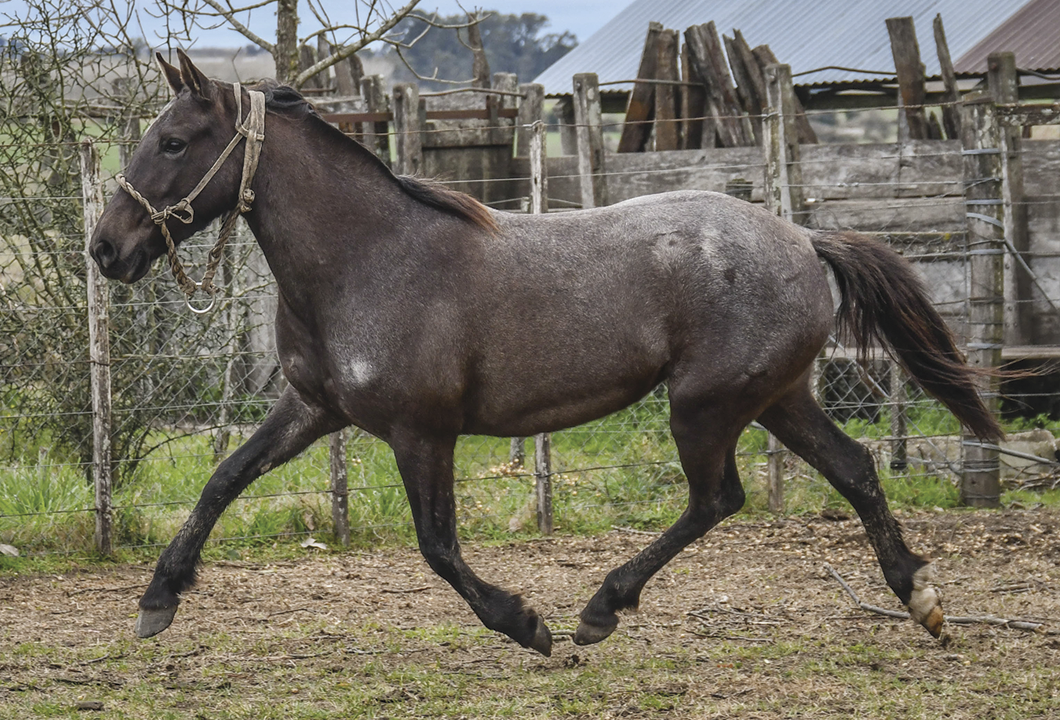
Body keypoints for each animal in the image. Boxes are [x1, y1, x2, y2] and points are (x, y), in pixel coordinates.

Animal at [91, 53, 1000, 657]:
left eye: (174, 142)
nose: (106, 249)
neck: (366, 258)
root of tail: (806, 240)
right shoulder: (314, 409)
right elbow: (224, 479)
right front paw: (157, 598)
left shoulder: (423, 432)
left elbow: (438, 547)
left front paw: (527, 624)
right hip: (777, 396)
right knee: (853, 470)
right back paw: (921, 599)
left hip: (705, 405)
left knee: (719, 498)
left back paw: (600, 610)